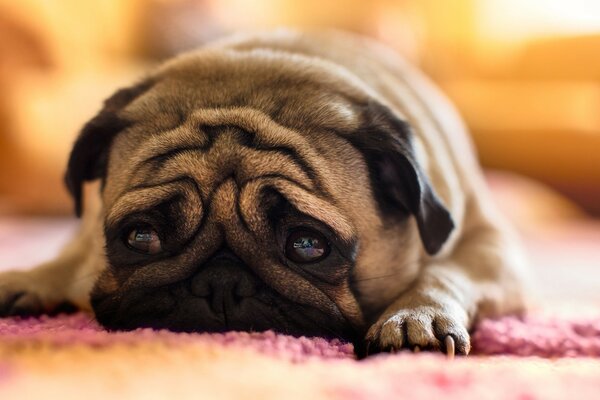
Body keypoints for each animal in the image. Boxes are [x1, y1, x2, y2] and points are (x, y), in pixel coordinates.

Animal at [0, 29, 524, 358]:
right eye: (141, 237)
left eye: (308, 245)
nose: (220, 282)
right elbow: (76, 255)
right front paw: (35, 277)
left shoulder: (491, 247)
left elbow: (446, 271)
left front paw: (418, 313)